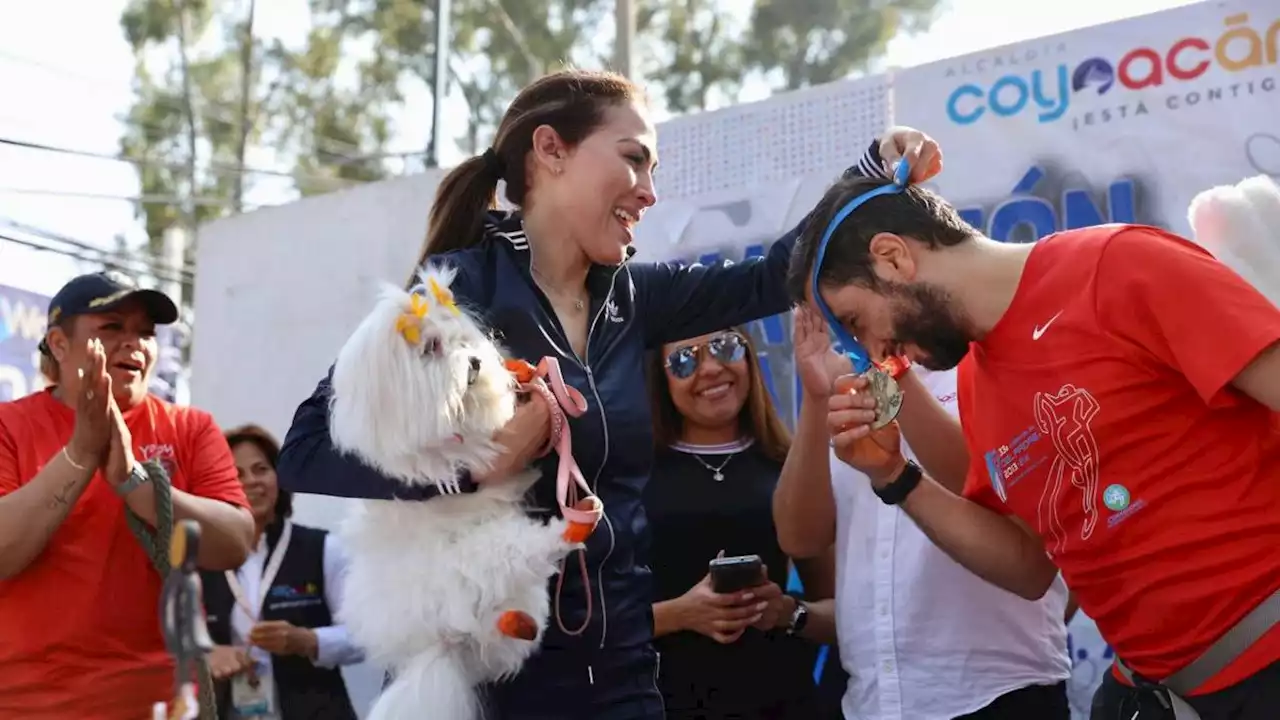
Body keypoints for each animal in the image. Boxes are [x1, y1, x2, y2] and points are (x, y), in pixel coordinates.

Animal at [322, 265, 596, 717]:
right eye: (432, 346)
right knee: (515, 554)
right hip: (471, 561)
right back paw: (571, 529)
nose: (475, 362)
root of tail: (445, 641)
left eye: (463, 341)